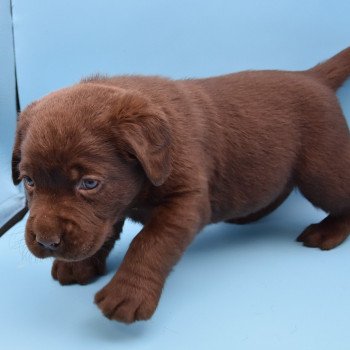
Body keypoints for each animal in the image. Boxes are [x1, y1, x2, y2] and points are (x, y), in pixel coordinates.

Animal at [10, 46, 350, 322]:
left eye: (89, 183)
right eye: (29, 181)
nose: (47, 242)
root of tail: (313, 77)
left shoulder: (185, 201)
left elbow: (149, 242)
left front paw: (128, 293)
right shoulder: (114, 208)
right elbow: (105, 232)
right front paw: (80, 265)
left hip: (322, 171)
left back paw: (327, 232)